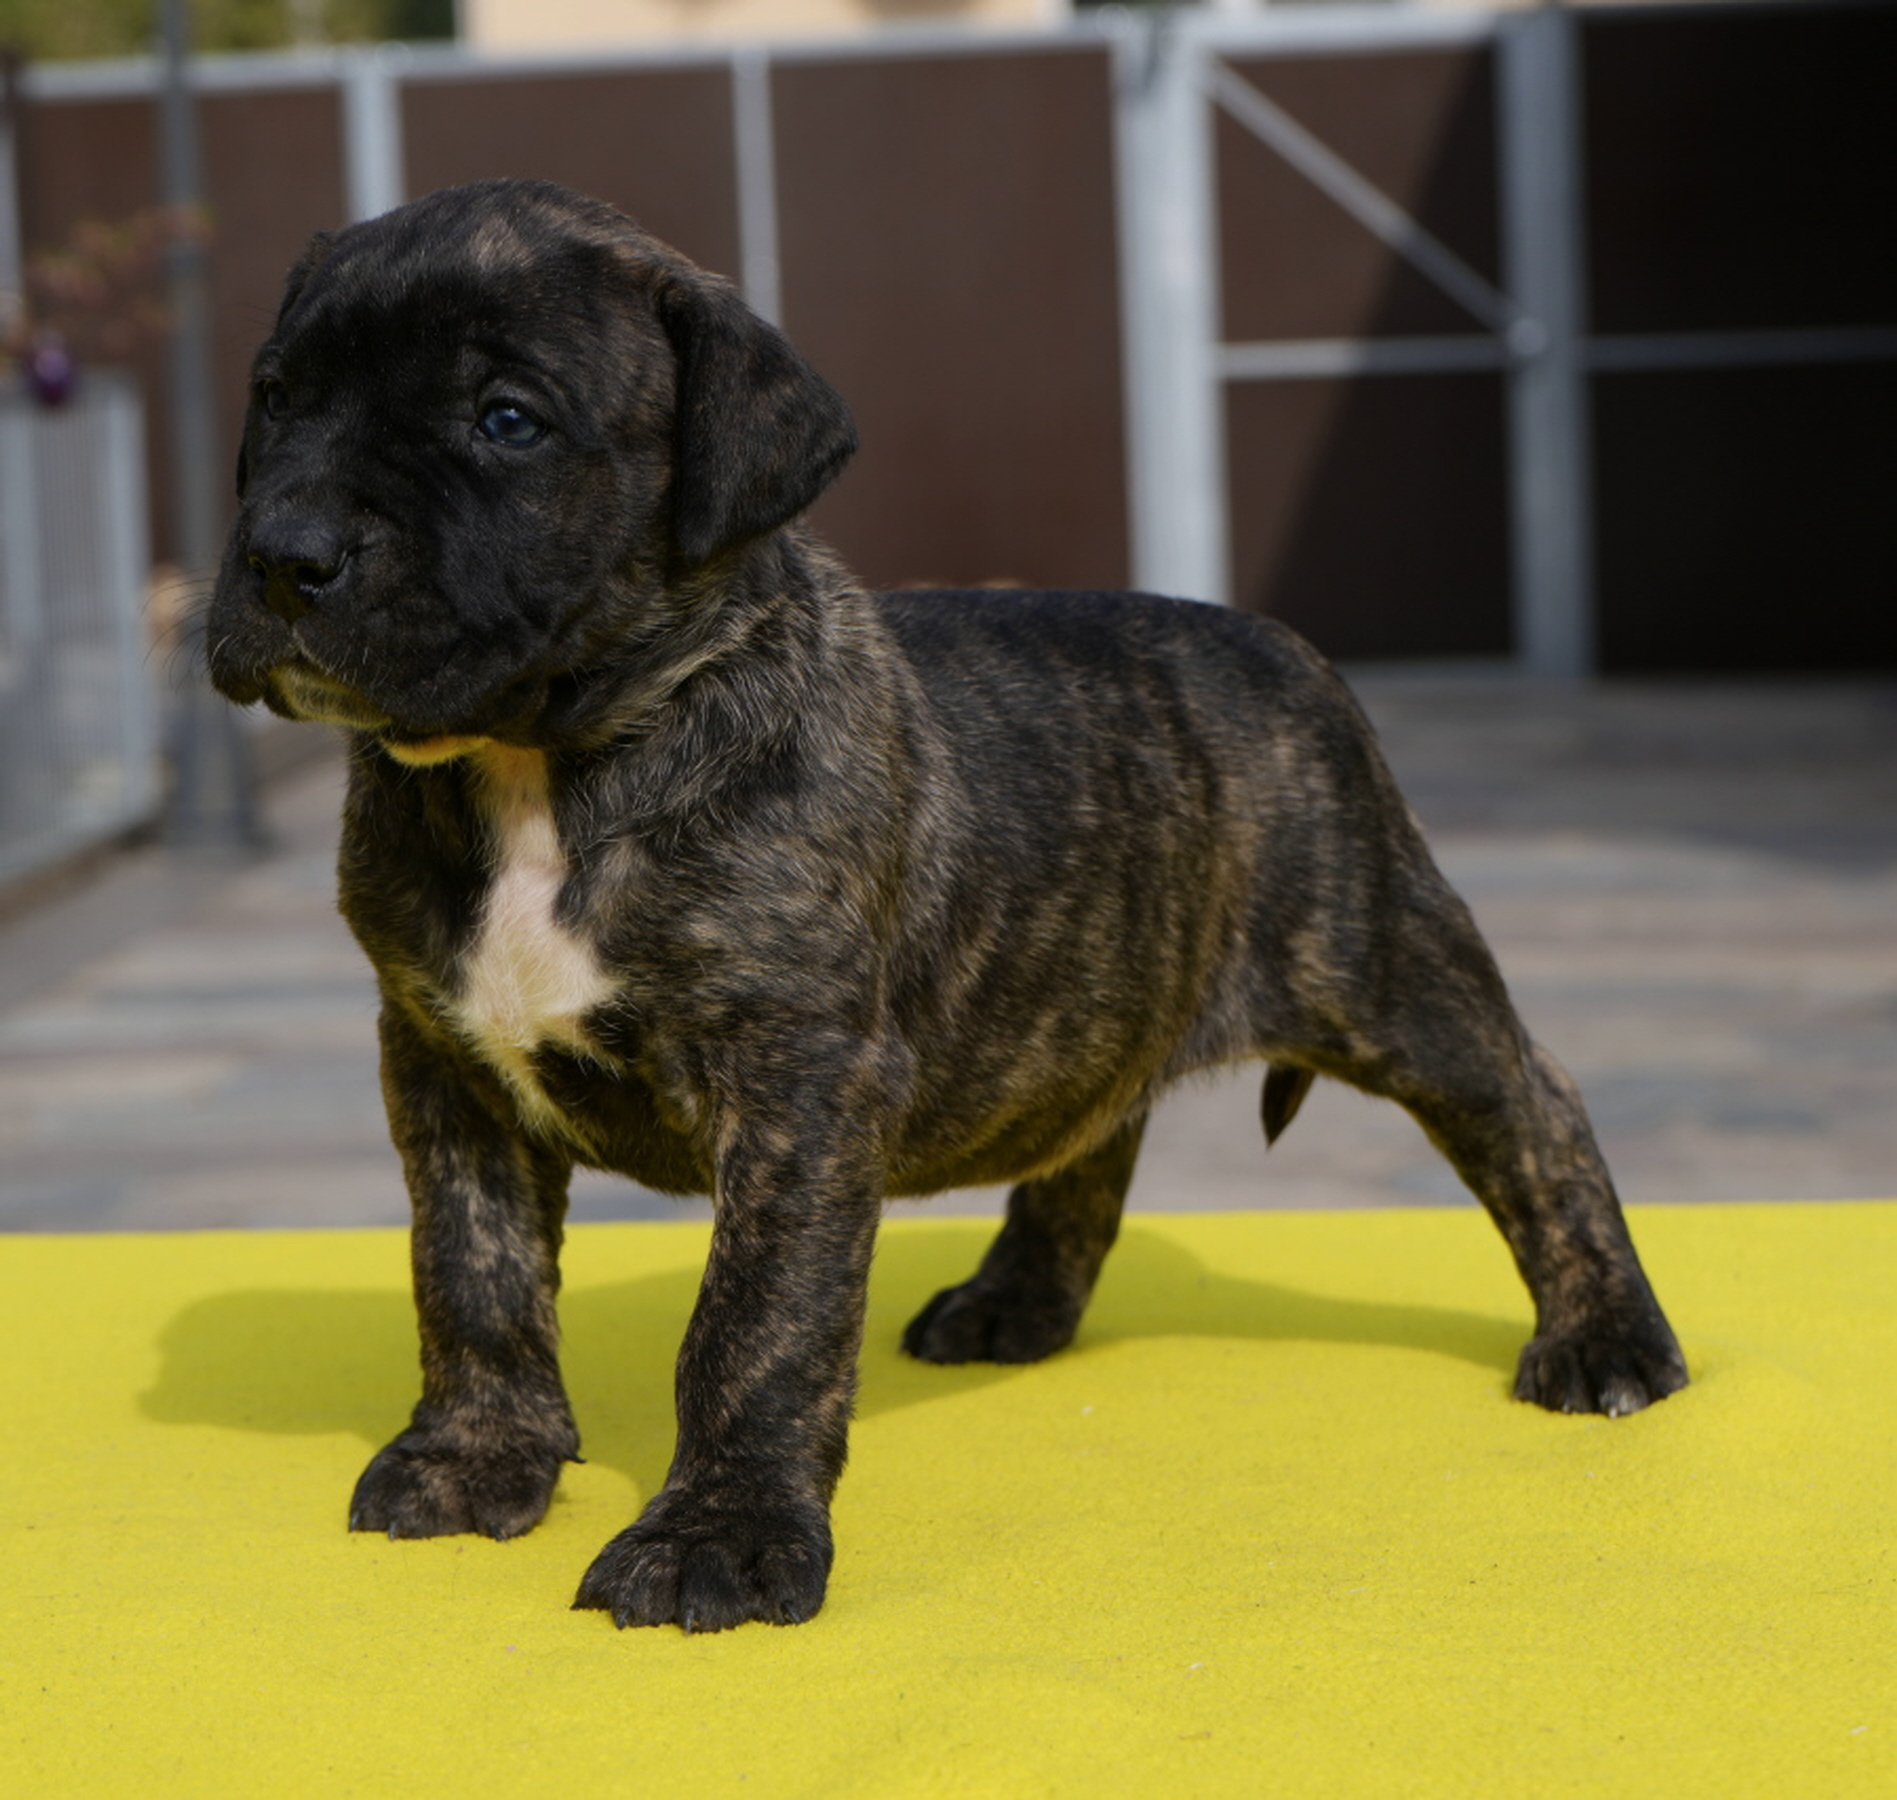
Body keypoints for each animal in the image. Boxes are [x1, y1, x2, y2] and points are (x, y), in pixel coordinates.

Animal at [207, 179, 1687, 1633]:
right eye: (274, 397)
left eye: (507, 420)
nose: (283, 554)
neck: (541, 762)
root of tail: (1282, 646)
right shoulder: (442, 1057)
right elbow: (472, 1271)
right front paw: (474, 1458)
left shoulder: (794, 1082)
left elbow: (753, 1321)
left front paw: (718, 1534)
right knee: (1090, 1137)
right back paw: (1013, 1302)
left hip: (1383, 962)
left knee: (1533, 1105)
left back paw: (1606, 1340)